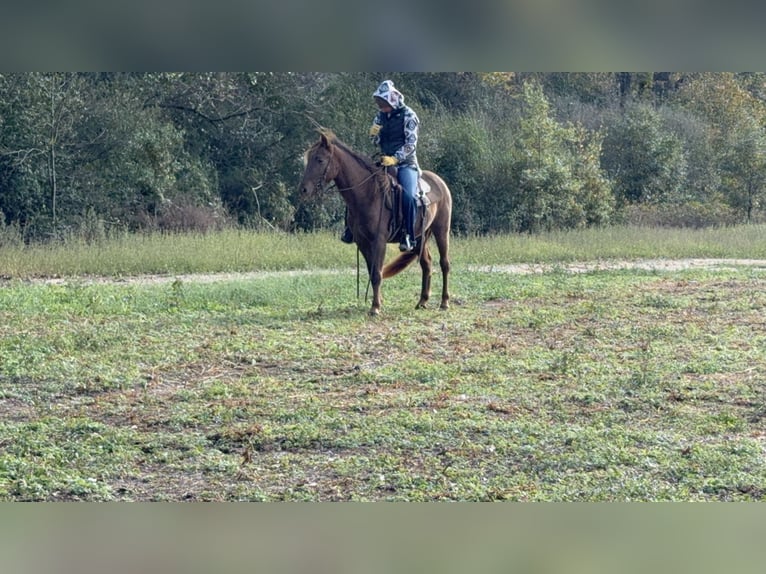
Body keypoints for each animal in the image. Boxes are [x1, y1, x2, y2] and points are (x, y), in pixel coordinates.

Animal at [299, 129, 452, 316]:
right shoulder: (362, 242)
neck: (368, 193)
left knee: (444, 264)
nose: (303, 189)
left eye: (320, 159)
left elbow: (377, 272)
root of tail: (440, 182)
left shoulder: (379, 241)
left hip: (441, 230)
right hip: (420, 237)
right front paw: (378, 302)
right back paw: (422, 301)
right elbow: (372, 272)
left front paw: (375, 307)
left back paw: (444, 302)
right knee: (427, 264)